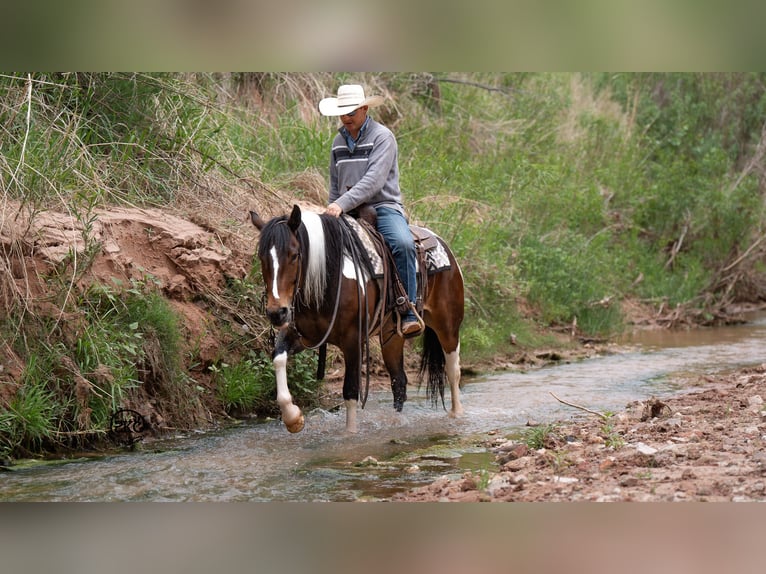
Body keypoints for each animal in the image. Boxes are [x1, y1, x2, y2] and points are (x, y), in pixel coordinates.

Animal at [252, 205, 464, 434]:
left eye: (294, 255)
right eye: (261, 257)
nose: (277, 313)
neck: (327, 279)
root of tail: (443, 245)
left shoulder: (353, 341)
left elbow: (351, 391)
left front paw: (350, 434)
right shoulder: (301, 335)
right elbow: (278, 358)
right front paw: (292, 418)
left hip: (448, 326)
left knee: (453, 371)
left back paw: (457, 414)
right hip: (391, 337)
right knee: (399, 381)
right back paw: (396, 421)